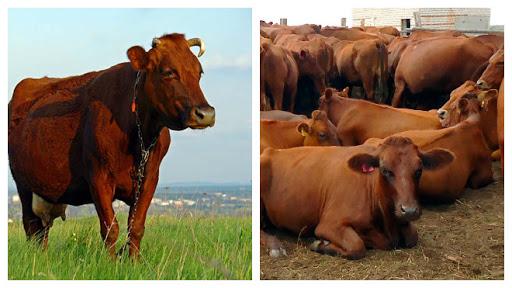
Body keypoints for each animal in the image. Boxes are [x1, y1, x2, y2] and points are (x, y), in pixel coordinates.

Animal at [9, 34, 215, 258]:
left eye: (199, 72)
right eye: (168, 72)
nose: (206, 113)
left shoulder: (150, 178)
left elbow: (136, 227)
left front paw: (134, 261)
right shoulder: (98, 177)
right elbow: (110, 227)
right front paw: (110, 262)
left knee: (43, 230)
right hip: (23, 184)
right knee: (31, 226)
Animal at [262, 137, 454, 258]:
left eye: (419, 170)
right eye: (385, 170)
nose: (410, 210)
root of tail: (271, 151)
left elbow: (412, 236)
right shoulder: (330, 224)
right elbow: (357, 246)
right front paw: (320, 244)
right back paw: (276, 247)